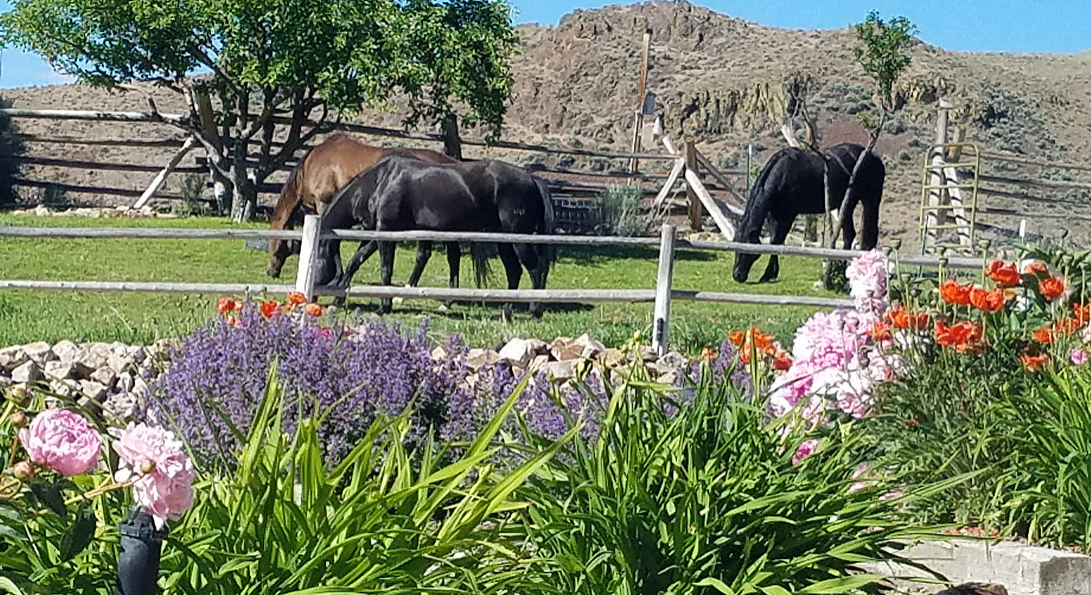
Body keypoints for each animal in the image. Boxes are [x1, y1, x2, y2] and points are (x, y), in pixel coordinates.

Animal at [265, 133, 461, 287]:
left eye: (274, 240)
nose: (270, 271)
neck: (312, 164)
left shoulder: (324, 204)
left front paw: (337, 276)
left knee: (426, 255)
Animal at [314, 153, 555, 319]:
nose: (312, 297)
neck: (381, 182)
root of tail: (532, 179)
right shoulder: (376, 233)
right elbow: (356, 261)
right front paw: (338, 299)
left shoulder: (386, 233)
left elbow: (385, 269)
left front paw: (384, 307)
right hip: (503, 241)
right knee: (514, 271)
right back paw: (506, 311)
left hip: (518, 239)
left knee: (535, 269)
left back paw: (535, 310)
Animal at [732, 143, 885, 284]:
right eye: (735, 242)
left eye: (746, 247)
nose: (737, 275)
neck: (782, 175)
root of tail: (873, 156)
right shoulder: (773, 215)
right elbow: (773, 240)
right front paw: (770, 273)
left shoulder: (788, 215)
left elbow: (777, 242)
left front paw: (769, 274)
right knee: (851, 236)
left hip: (861, 201)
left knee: (856, 235)